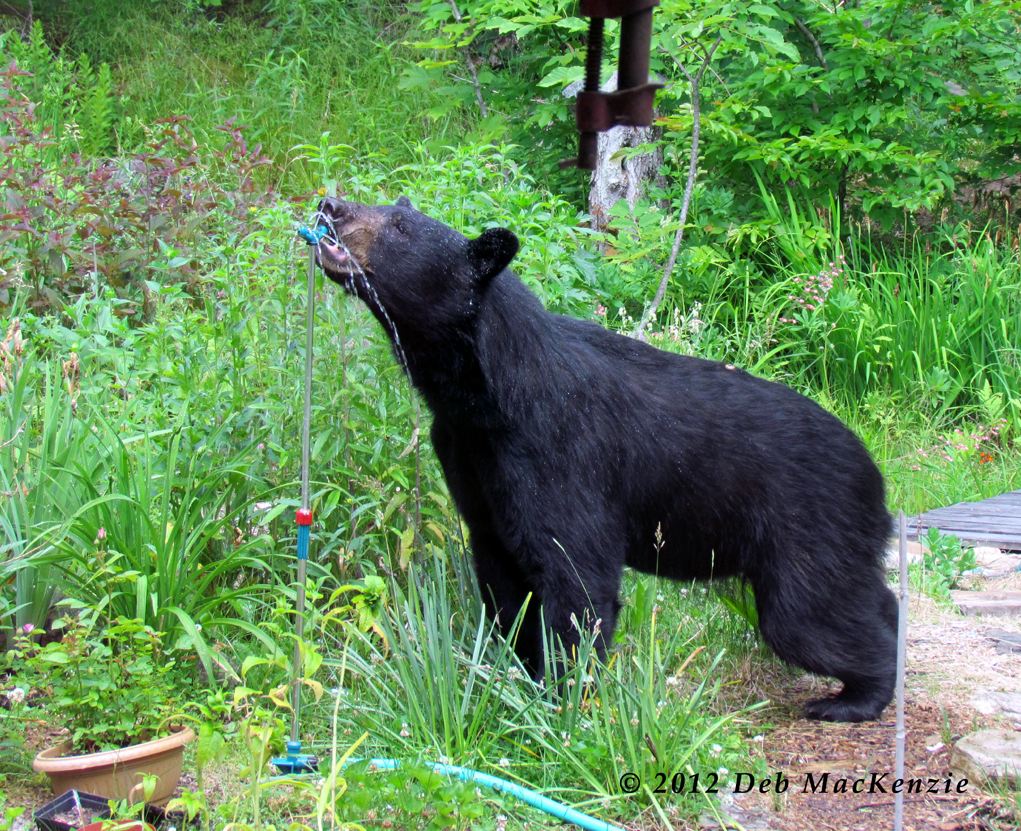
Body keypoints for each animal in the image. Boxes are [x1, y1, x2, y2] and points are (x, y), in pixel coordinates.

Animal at [313, 195, 898, 723]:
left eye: (399, 225)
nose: (330, 206)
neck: (485, 394)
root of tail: (876, 476)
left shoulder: (561, 454)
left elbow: (576, 576)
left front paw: (562, 700)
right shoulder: (470, 461)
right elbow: (503, 582)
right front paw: (514, 672)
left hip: (808, 530)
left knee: (808, 615)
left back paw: (852, 698)